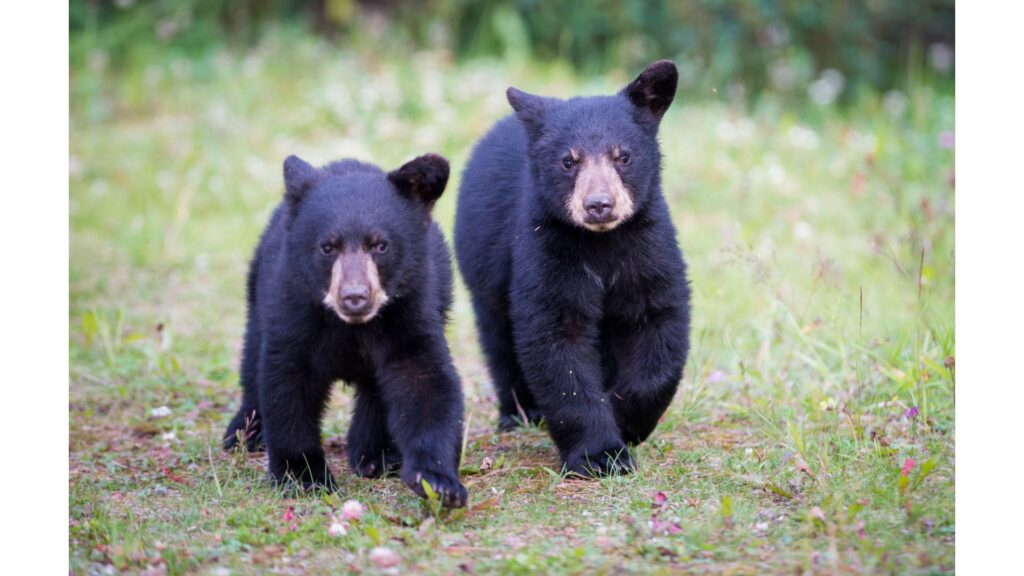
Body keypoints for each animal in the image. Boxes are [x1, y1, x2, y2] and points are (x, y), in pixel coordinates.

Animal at [224, 152, 468, 506]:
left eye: (380, 245)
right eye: (328, 247)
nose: (355, 296)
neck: (351, 327)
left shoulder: (411, 310)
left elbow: (425, 381)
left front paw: (438, 481)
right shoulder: (292, 308)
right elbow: (287, 383)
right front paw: (303, 476)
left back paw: (377, 455)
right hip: (257, 292)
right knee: (252, 356)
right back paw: (243, 433)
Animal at [454, 59, 688, 475]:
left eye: (623, 156)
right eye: (568, 161)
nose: (599, 204)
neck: (601, 243)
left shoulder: (647, 246)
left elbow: (657, 323)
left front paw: (626, 420)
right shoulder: (547, 249)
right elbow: (558, 341)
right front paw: (601, 454)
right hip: (485, 271)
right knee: (499, 339)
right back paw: (520, 412)